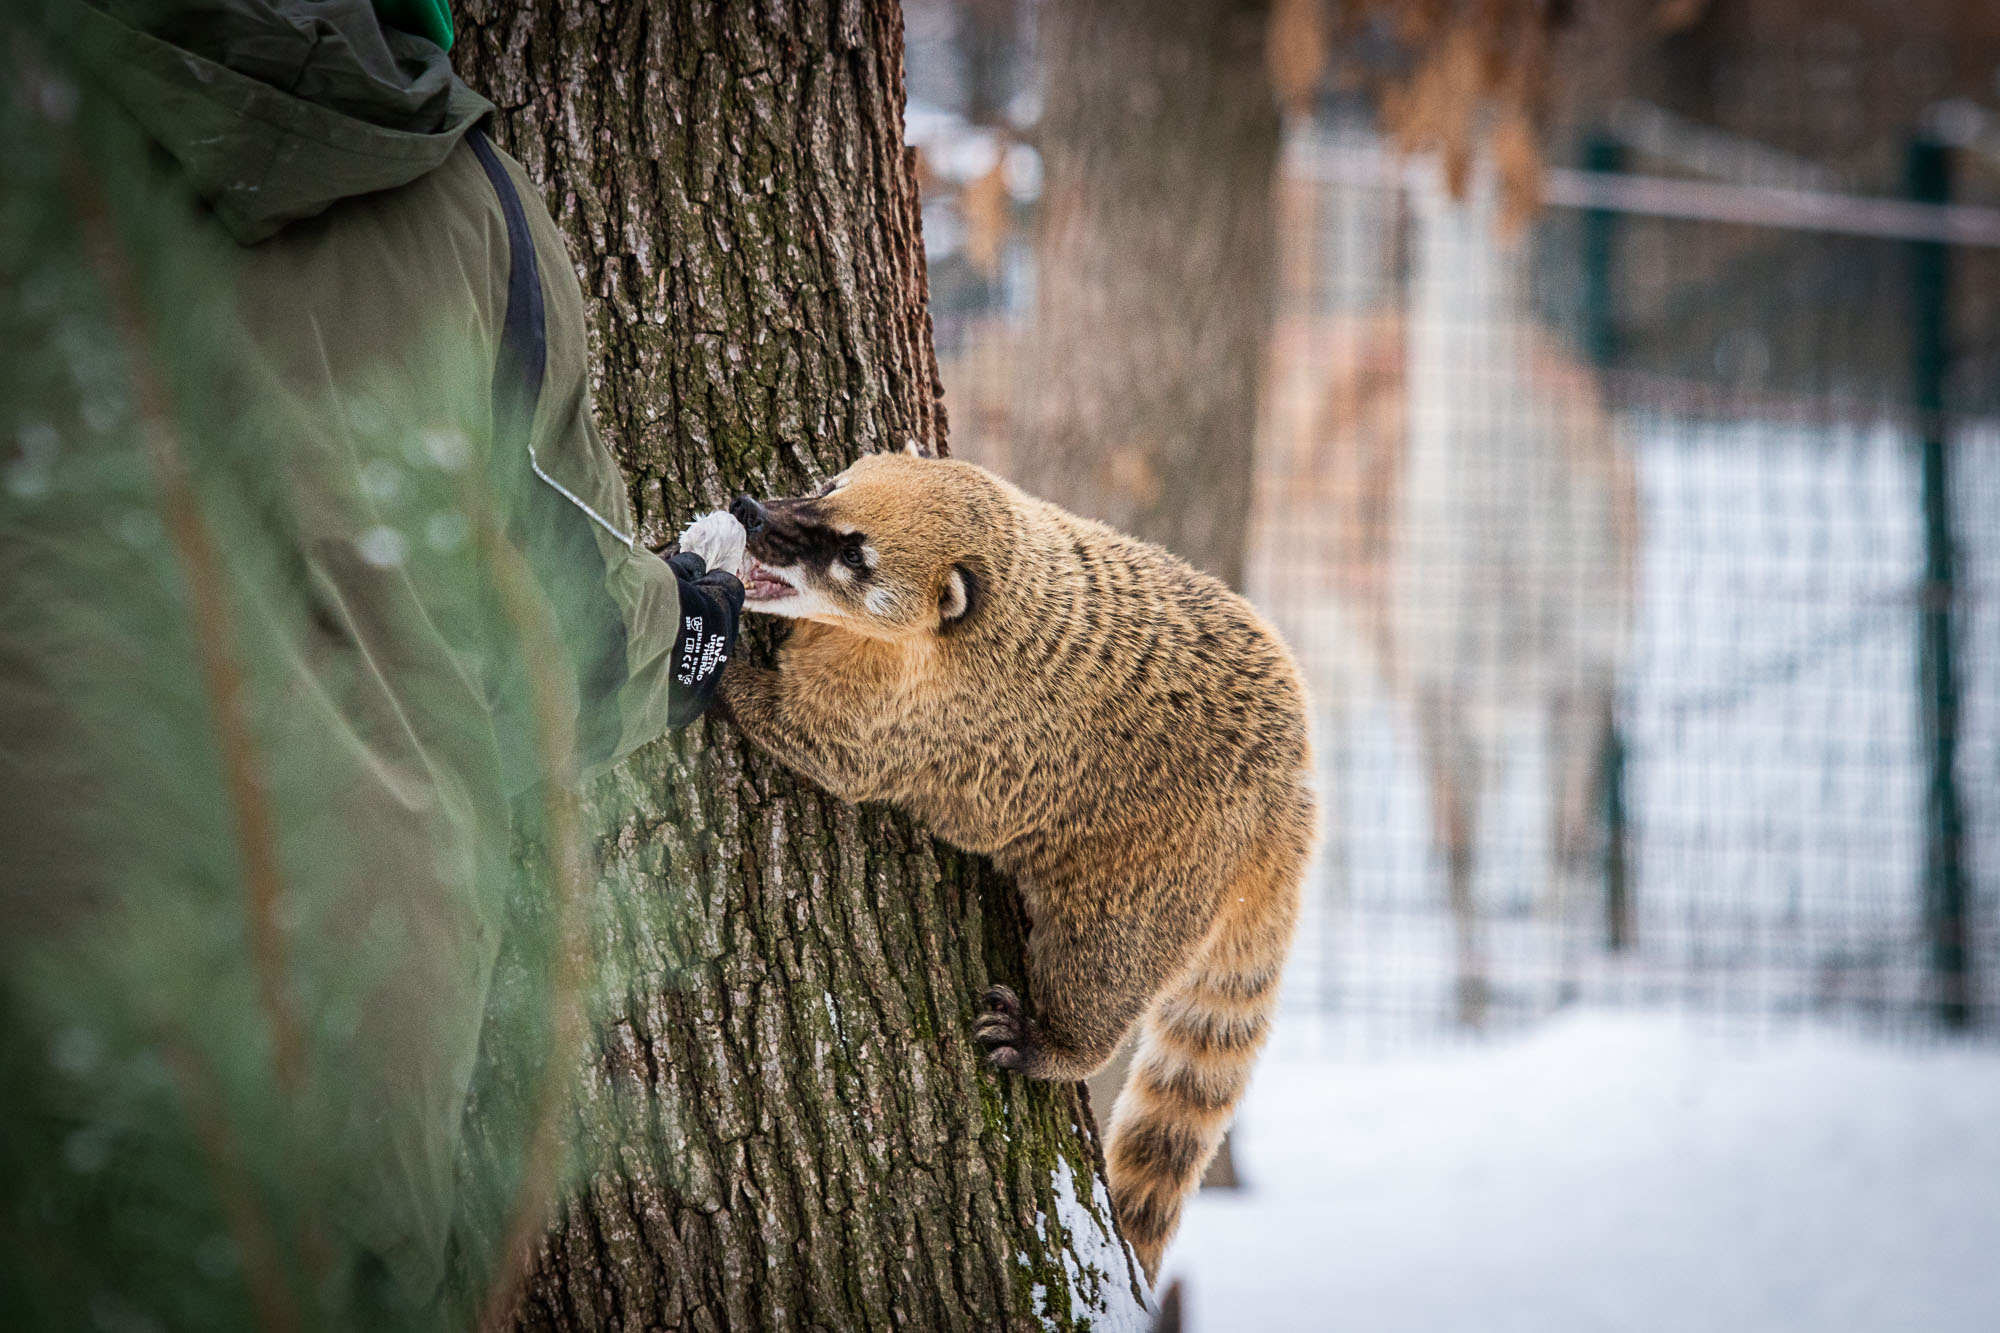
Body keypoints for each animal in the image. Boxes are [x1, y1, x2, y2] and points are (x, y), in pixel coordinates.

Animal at [679, 444, 1316, 1281]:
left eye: (854, 554)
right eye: (828, 485)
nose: (750, 510)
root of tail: (1295, 791)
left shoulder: (908, 718)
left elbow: (827, 748)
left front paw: (713, 662)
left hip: (1155, 867)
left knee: (1103, 962)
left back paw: (1062, 1044)